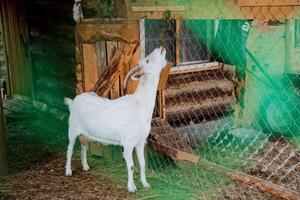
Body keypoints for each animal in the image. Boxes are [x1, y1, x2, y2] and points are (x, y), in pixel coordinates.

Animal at [65, 47, 166, 192]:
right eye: (147, 60)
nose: (161, 48)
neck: (139, 105)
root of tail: (73, 101)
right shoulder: (128, 143)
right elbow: (131, 165)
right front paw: (131, 187)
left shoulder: (140, 141)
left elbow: (142, 163)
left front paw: (145, 184)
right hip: (72, 129)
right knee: (69, 149)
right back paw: (68, 171)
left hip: (86, 133)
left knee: (83, 145)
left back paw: (85, 166)